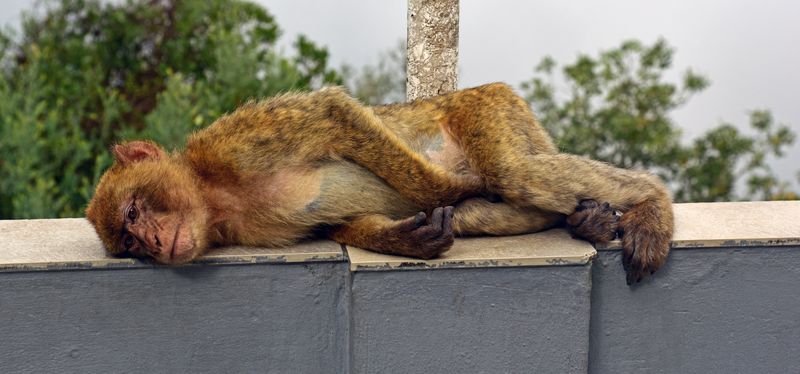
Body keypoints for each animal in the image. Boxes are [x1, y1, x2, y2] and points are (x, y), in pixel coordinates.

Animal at [87, 82, 672, 284]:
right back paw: (588, 219)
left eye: (134, 212)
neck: (213, 197)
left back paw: (651, 200)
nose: (155, 241)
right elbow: (342, 224)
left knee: (513, 174)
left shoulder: (230, 143)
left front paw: (452, 189)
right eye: (131, 245)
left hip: (488, 105)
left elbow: (334, 111)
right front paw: (407, 238)